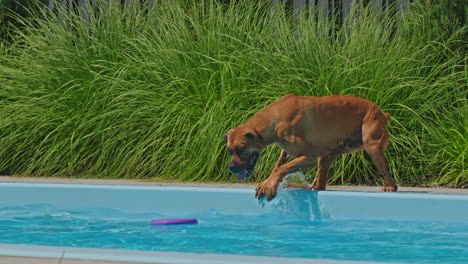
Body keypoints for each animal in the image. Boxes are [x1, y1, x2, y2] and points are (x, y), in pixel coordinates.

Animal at [225, 95, 396, 200]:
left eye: (241, 149)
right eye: (229, 151)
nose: (231, 168)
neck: (275, 118)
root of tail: (382, 113)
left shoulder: (308, 158)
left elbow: (282, 168)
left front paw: (269, 185)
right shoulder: (286, 152)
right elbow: (278, 166)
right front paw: (268, 182)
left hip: (372, 146)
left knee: (391, 182)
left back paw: (389, 187)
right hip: (328, 154)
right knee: (319, 185)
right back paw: (302, 186)